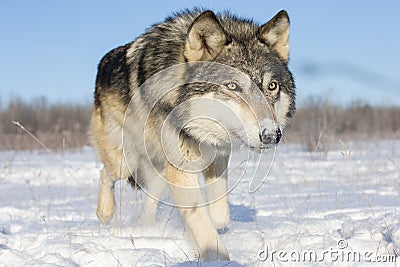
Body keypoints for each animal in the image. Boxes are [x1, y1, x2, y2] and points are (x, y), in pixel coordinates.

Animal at [91, 8, 296, 262]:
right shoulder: (182, 168)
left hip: (159, 170)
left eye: (272, 86)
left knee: (149, 200)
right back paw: (105, 213)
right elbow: (204, 227)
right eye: (232, 86)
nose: (270, 135)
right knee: (105, 174)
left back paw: (146, 230)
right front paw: (218, 259)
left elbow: (219, 215)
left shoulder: (218, 153)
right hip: (125, 160)